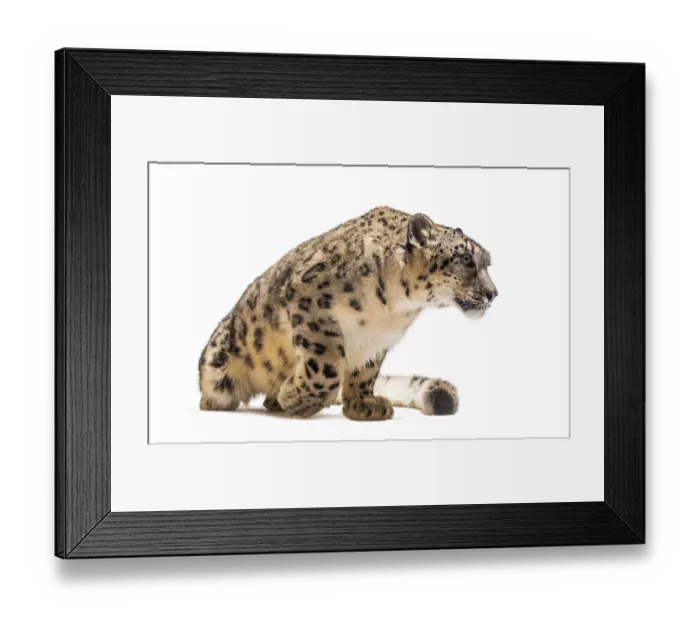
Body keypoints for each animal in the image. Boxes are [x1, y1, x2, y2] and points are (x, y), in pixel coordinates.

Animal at [198, 206, 498, 421]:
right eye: (467, 260)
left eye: (487, 263)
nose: (493, 293)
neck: (396, 306)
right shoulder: (311, 301)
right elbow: (326, 366)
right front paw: (295, 399)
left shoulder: (378, 338)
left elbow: (365, 372)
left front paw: (363, 405)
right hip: (217, 364)